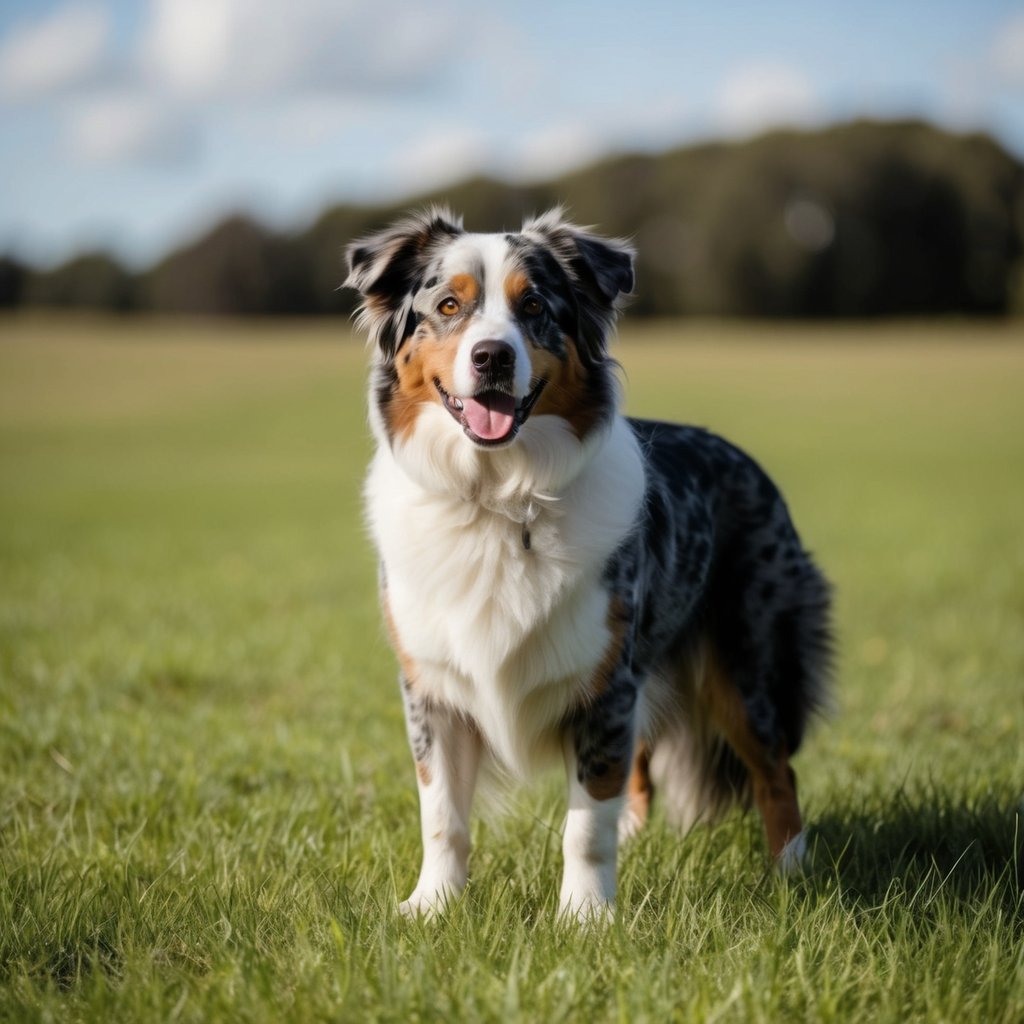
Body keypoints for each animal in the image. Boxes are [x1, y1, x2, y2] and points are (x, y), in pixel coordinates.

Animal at [346, 207, 831, 921]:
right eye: (448, 306)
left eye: (534, 306)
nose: (492, 356)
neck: (499, 499)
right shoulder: (432, 690)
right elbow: (442, 816)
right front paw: (433, 906)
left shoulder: (604, 685)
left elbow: (584, 824)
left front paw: (585, 919)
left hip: (747, 662)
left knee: (775, 770)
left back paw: (793, 874)